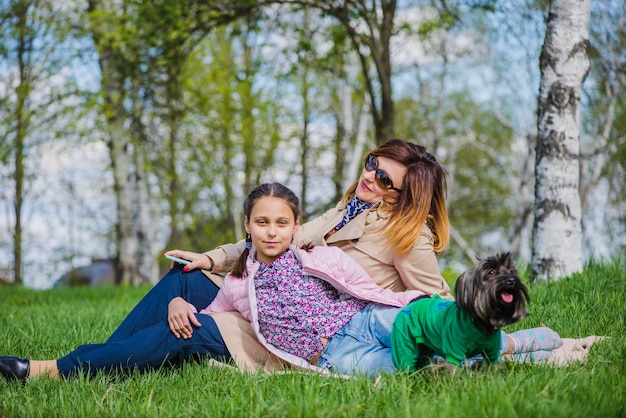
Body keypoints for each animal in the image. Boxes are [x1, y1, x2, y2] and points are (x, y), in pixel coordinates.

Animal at [390, 253, 528, 370]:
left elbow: (493, 368)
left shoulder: (492, 352)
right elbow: (453, 370)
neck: (480, 323)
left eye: (511, 271)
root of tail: (414, 301)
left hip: (425, 346)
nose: (512, 280)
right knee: (405, 361)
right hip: (404, 342)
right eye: (491, 272)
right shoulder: (453, 350)